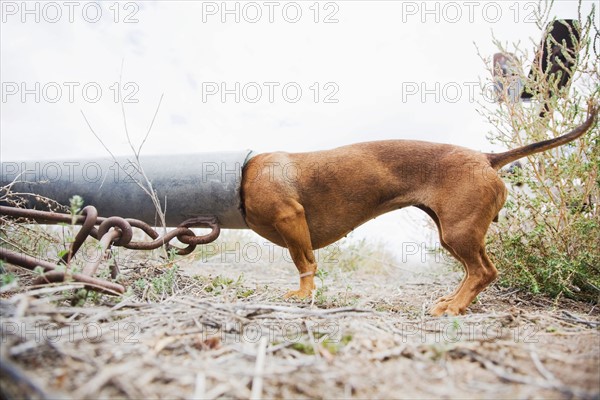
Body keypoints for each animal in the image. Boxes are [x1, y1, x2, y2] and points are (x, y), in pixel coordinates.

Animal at [241, 105, 596, 316]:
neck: (244, 170)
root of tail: (485, 157)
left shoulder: (290, 219)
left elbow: (305, 264)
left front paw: (302, 296)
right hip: (456, 233)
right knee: (475, 272)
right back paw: (452, 301)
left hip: (458, 232)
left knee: (484, 272)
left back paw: (454, 308)